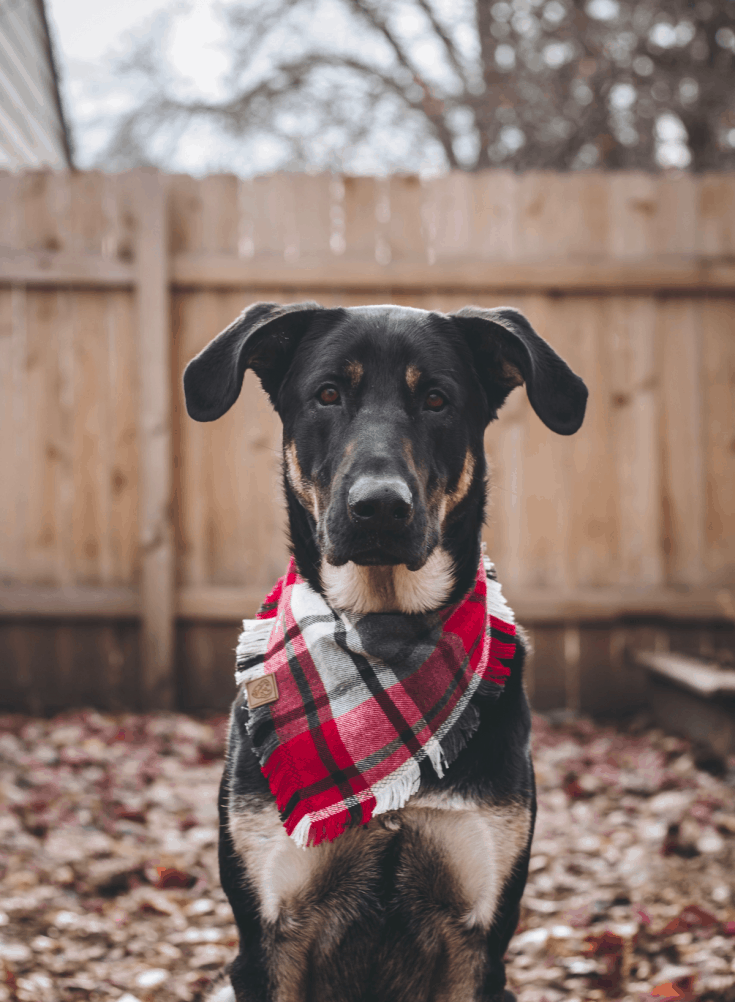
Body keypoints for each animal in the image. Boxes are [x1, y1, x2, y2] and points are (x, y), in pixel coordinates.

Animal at [185, 298, 592, 1002]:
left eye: (436, 399)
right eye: (328, 395)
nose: (378, 507)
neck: (383, 632)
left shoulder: (477, 940)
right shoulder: (268, 940)